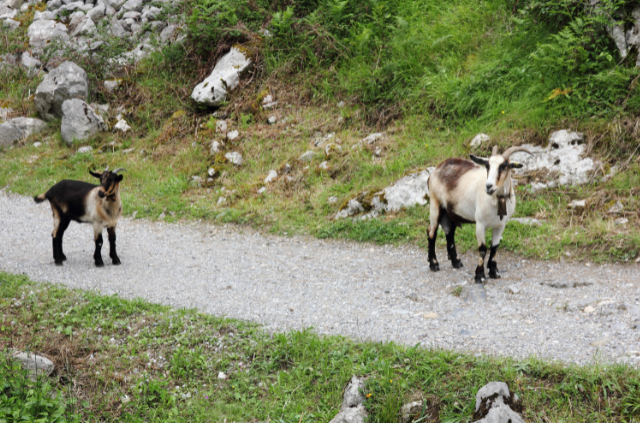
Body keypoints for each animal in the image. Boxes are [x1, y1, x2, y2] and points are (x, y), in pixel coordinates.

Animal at [430, 147, 528, 284]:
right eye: (487, 165)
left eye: (504, 166)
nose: (488, 187)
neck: (496, 199)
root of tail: (438, 168)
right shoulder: (480, 224)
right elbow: (482, 249)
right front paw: (479, 276)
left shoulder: (500, 225)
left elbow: (494, 247)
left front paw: (494, 272)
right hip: (435, 204)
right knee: (431, 233)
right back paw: (434, 264)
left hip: (450, 212)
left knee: (449, 232)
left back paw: (456, 262)